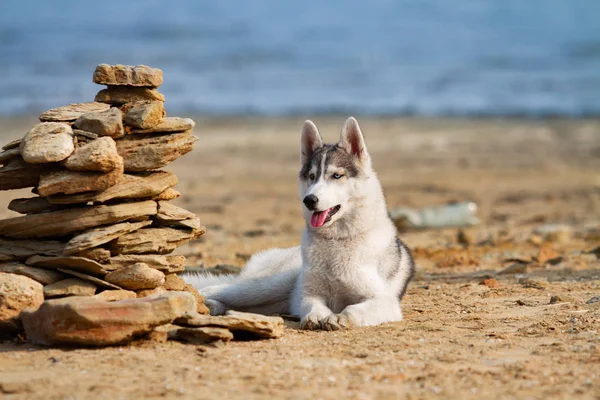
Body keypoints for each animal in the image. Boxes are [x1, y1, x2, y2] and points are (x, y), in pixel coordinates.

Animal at [185, 117, 414, 330]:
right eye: (311, 176)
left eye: (336, 175)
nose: (309, 200)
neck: (336, 240)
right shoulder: (310, 294)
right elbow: (313, 304)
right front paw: (317, 316)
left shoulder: (384, 302)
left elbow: (352, 308)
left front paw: (339, 317)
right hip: (268, 285)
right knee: (215, 289)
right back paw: (206, 303)